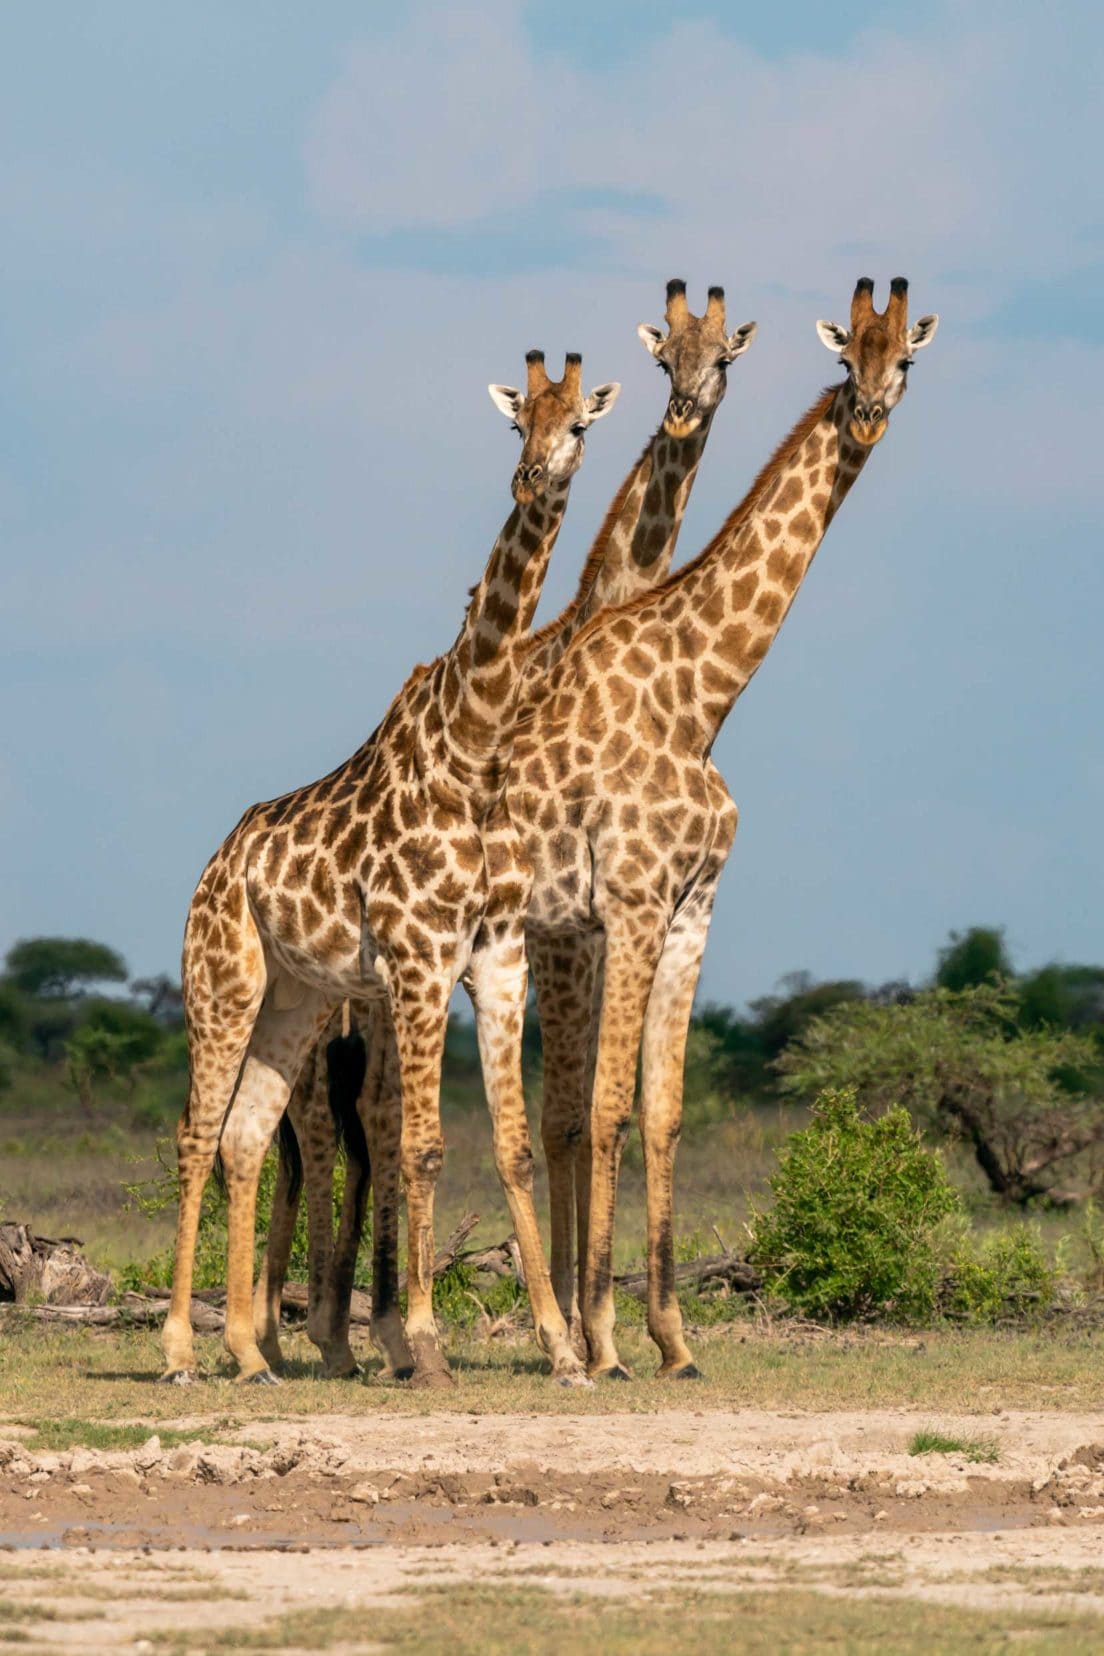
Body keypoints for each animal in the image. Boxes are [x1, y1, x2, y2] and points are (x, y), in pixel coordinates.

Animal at [160, 349, 622, 1384]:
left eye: (579, 424)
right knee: (196, 1134)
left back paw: (248, 1354)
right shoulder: (418, 961)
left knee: (246, 1136)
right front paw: (427, 1344)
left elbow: (512, 1146)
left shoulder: (496, 959)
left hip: (294, 997)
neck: (477, 746)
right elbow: (420, 1147)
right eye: (517, 421)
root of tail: (214, 866)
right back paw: (178, 1349)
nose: (533, 476)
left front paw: (560, 1348)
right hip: (222, 979)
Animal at [254, 278, 764, 1377]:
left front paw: (576, 1326)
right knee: (329, 1122)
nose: (685, 414)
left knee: (342, 1126)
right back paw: (319, 1329)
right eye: (664, 358)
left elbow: (565, 1116)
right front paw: (578, 1329)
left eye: (721, 359)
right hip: (351, 993)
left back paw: (338, 1329)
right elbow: (564, 1114)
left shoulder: (557, 933)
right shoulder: (558, 930)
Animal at [483, 278, 940, 1377]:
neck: (700, 695)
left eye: (903, 359)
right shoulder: (630, 900)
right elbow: (604, 1108)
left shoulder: (695, 905)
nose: (867, 415)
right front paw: (604, 1340)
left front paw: (671, 1339)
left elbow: (664, 1111)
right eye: (846, 358)